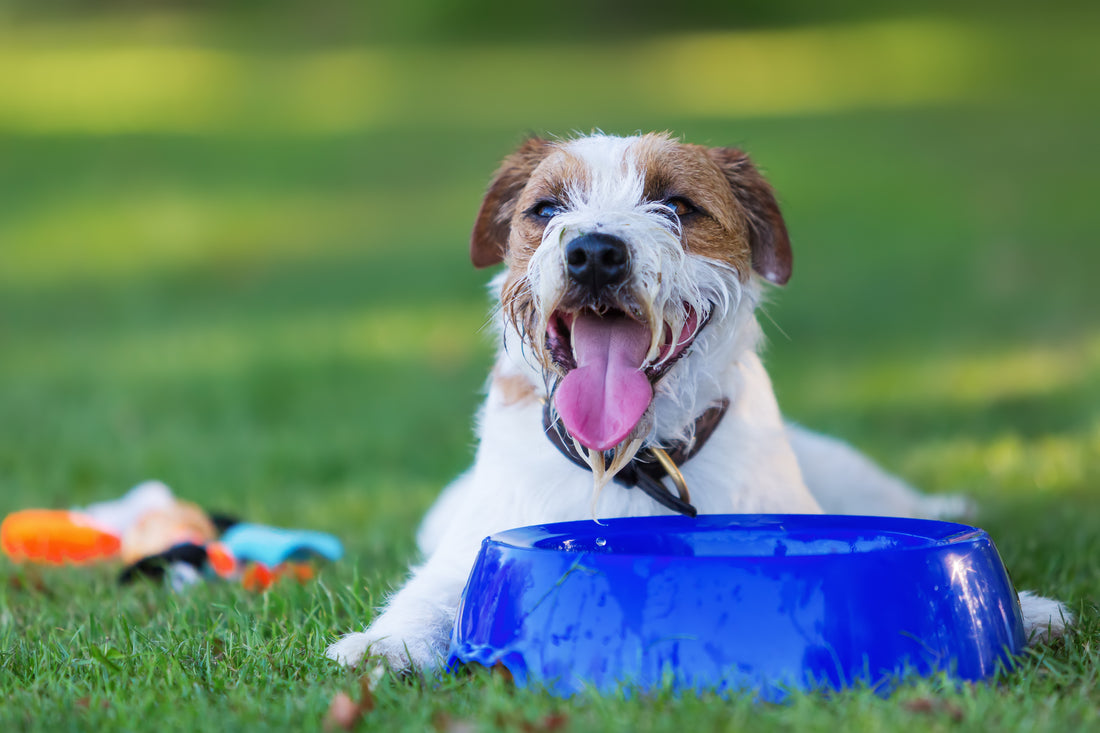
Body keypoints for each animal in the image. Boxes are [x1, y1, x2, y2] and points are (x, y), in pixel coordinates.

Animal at [325, 129, 1064, 669]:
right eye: (547, 209)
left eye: (678, 206)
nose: (595, 252)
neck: (631, 461)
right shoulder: (470, 549)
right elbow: (431, 594)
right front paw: (381, 645)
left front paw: (1026, 608)